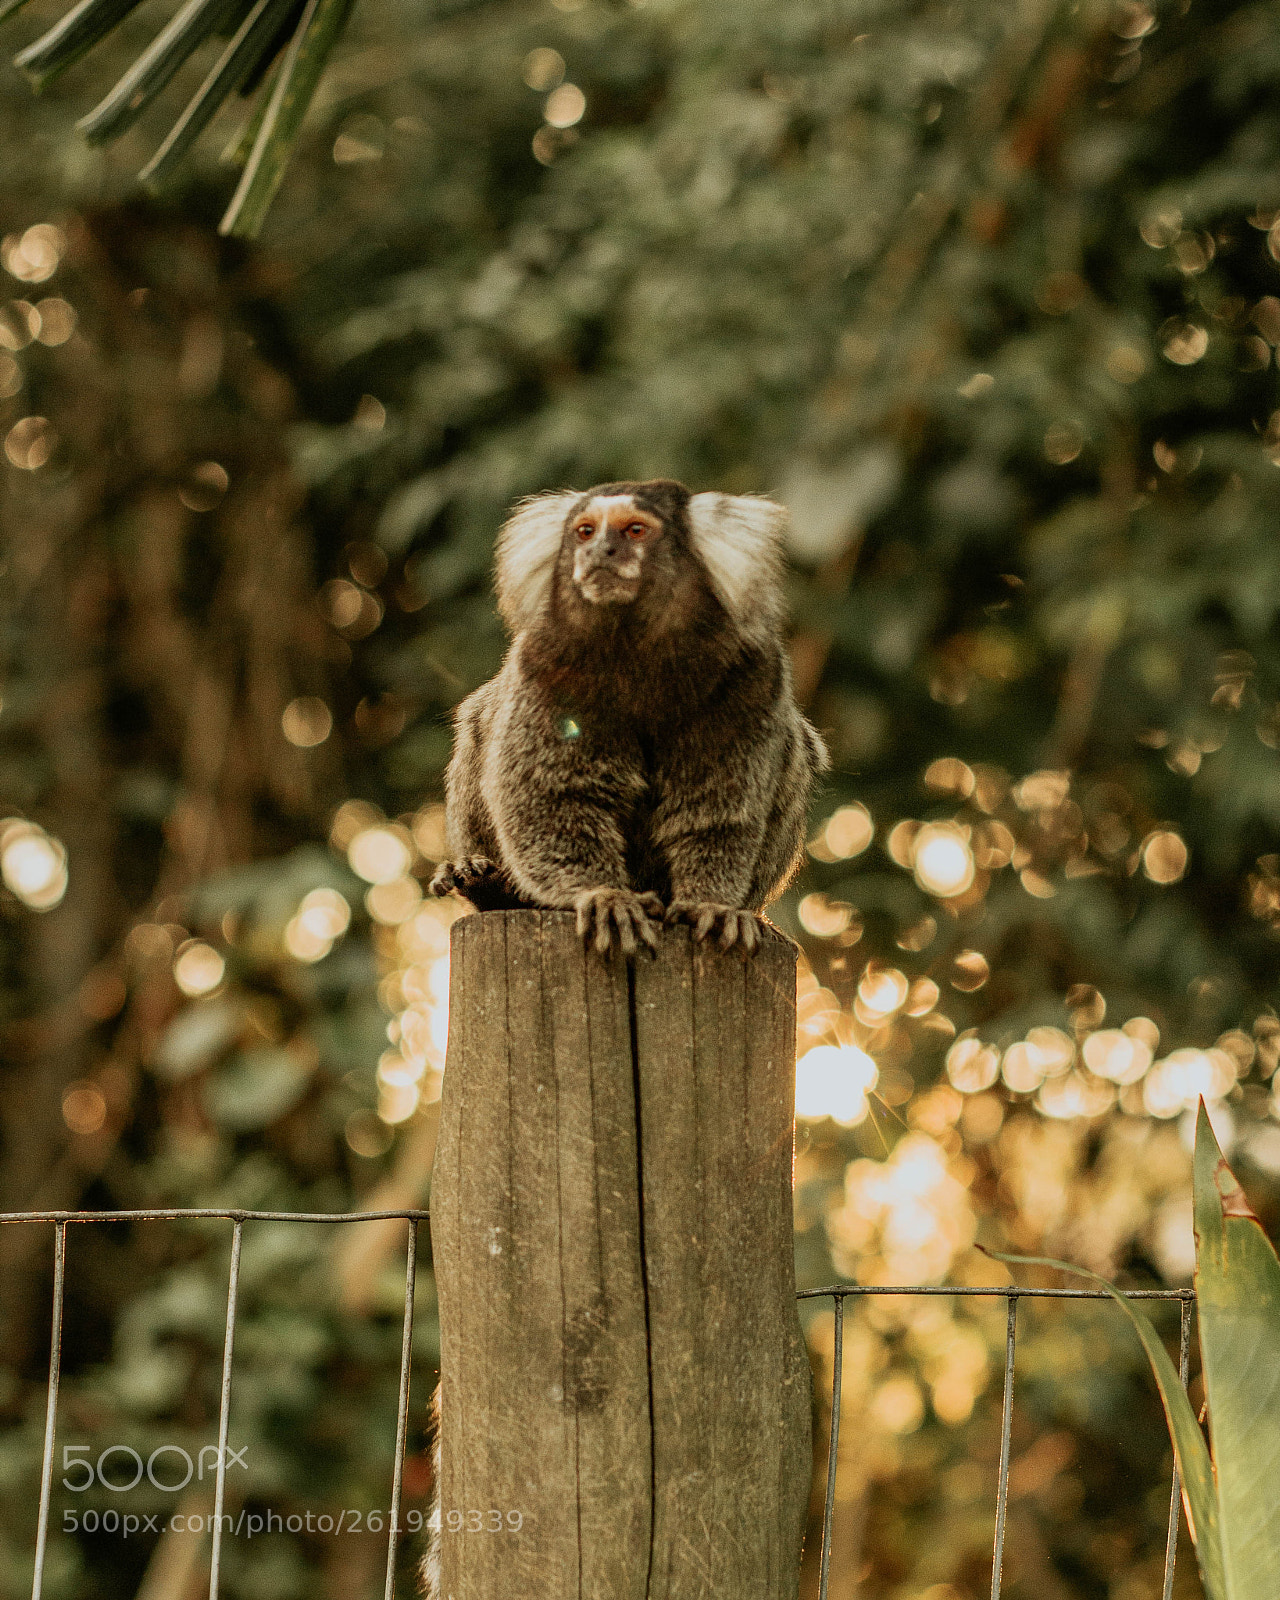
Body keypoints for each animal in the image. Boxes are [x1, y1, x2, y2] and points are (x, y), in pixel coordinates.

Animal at [428, 480, 828, 957]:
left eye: (635, 530)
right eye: (585, 531)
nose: (599, 551)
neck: (638, 643)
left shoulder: (756, 671)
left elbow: (721, 810)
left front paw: (711, 904)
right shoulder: (543, 661)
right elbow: (550, 793)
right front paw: (604, 895)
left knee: (796, 750)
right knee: (479, 723)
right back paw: (482, 882)